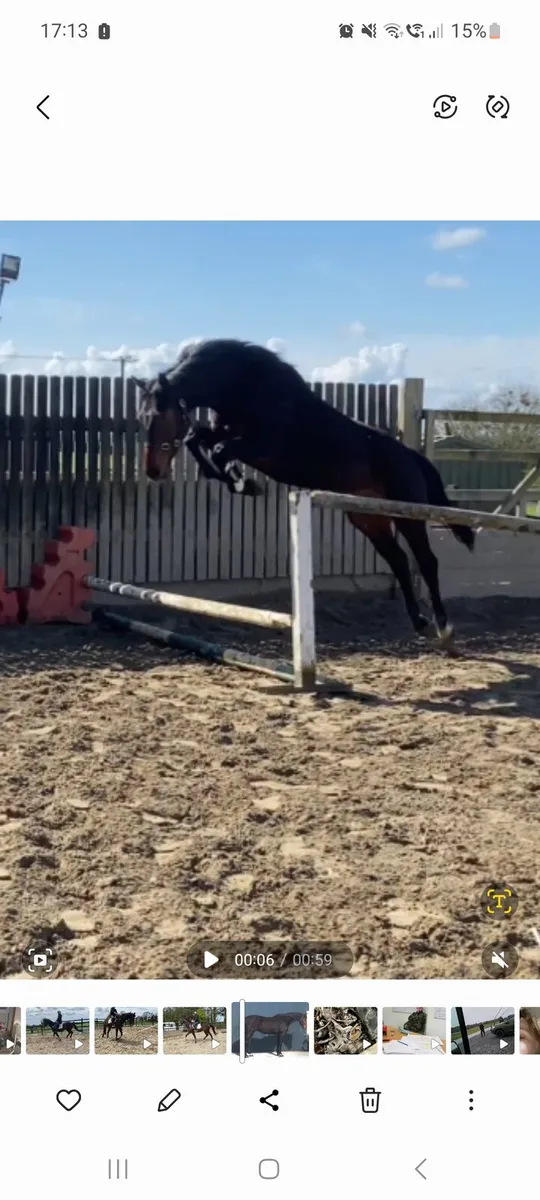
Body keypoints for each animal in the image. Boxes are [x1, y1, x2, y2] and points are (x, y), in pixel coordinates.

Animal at [134, 339, 475, 644]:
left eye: (161, 416)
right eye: (142, 417)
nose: (153, 471)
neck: (245, 388)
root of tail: (412, 457)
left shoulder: (262, 448)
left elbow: (217, 449)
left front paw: (244, 483)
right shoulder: (225, 436)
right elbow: (199, 440)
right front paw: (238, 481)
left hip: (406, 514)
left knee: (426, 561)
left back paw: (443, 627)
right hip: (368, 518)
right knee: (400, 561)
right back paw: (419, 623)